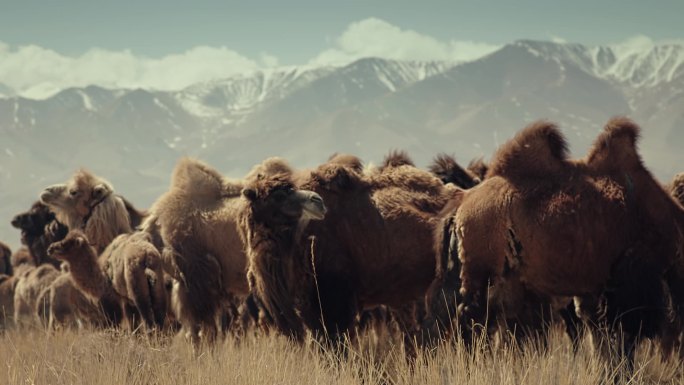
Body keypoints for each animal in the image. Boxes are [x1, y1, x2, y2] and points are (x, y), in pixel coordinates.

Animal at [428, 118, 684, 364]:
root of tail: (462, 205)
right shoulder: (630, 281)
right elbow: (623, 337)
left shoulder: (593, 287)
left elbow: (598, 334)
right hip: (482, 273)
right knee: (472, 318)